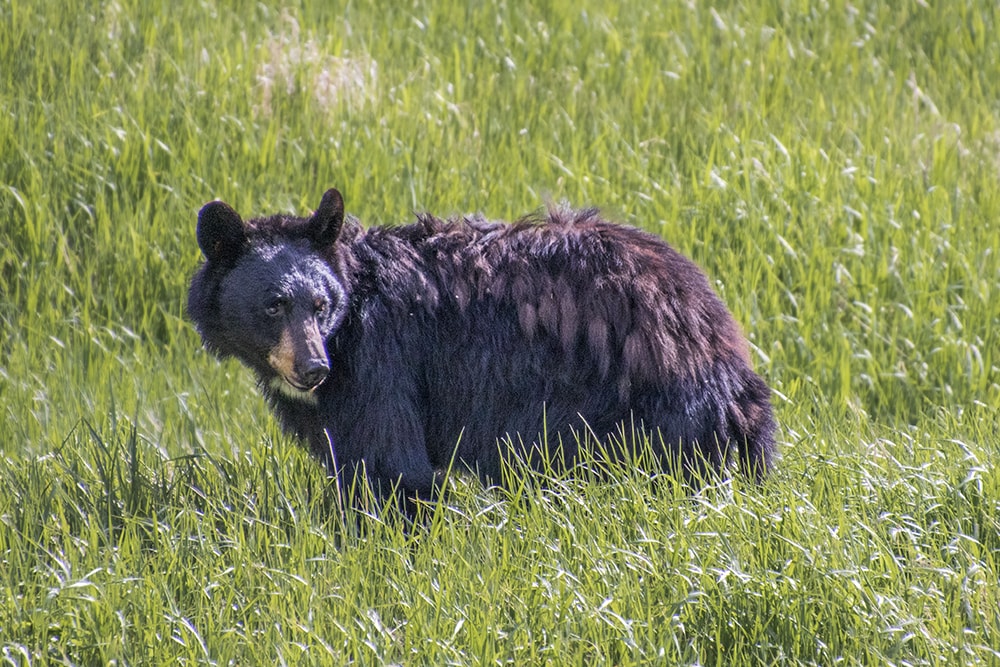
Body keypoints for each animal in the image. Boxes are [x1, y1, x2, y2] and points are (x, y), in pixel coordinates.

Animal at [188, 188, 775, 510]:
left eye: (318, 303)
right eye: (273, 305)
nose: (312, 368)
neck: (351, 315)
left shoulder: (383, 359)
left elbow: (392, 464)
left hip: (648, 403)